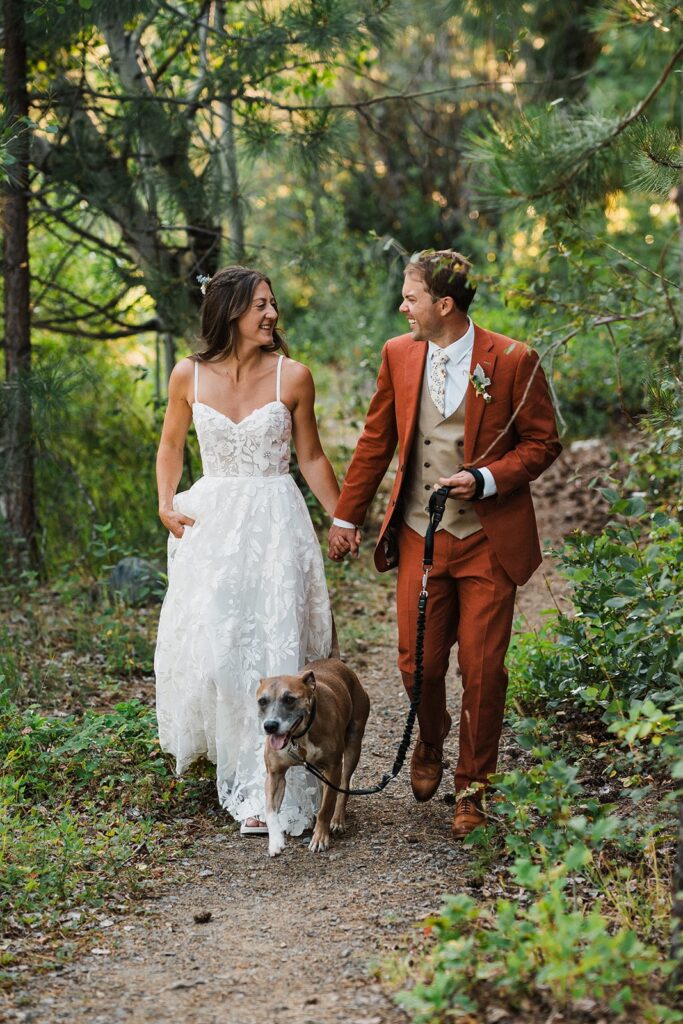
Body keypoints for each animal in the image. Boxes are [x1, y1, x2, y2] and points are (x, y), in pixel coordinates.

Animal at [255, 655, 370, 856]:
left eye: (289, 699)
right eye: (262, 701)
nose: (270, 726)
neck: (300, 735)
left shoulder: (334, 767)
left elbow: (326, 807)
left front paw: (320, 838)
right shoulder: (275, 775)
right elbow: (270, 811)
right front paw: (275, 841)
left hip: (353, 746)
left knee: (344, 785)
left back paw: (337, 820)